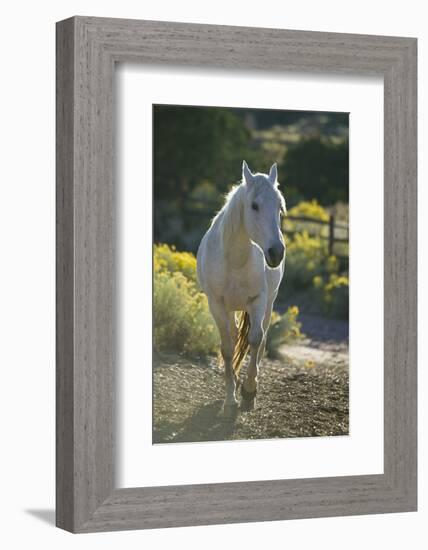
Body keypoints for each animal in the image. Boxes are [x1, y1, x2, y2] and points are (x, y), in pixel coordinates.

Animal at [198, 162, 286, 416]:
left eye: (280, 207)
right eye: (254, 205)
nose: (276, 252)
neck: (235, 259)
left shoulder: (258, 300)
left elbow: (255, 339)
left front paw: (248, 393)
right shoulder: (217, 304)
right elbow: (228, 348)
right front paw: (230, 400)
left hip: (268, 304)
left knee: (261, 339)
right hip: (231, 308)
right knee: (235, 334)